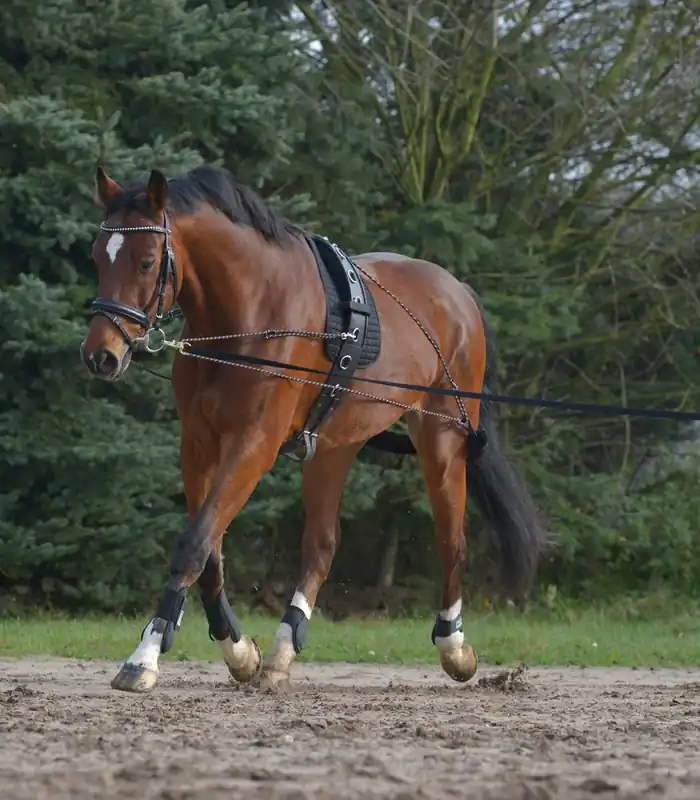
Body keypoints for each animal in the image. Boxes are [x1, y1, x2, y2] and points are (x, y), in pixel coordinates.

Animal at [80, 163, 543, 693]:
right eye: (97, 256)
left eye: (146, 261)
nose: (100, 355)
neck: (249, 312)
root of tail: (458, 294)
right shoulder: (197, 444)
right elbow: (210, 549)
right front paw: (240, 651)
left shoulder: (253, 444)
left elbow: (194, 544)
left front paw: (145, 656)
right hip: (336, 444)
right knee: (322, 544)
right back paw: (284, 647)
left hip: (441, 439)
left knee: (451, 539)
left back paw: (453, 646)